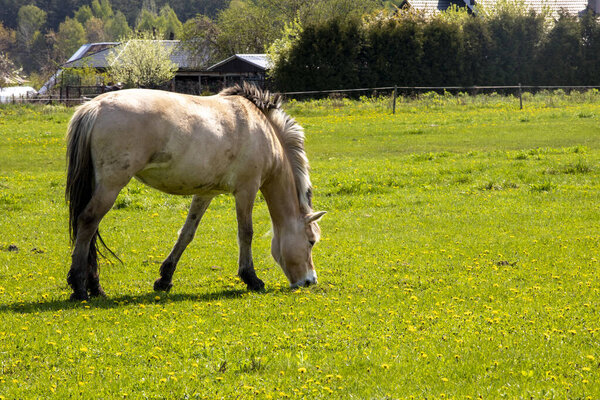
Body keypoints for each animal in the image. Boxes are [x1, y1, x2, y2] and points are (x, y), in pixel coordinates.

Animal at [65, 83, 326, 300]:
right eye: (311, 241)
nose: (310, 281)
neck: (262, 128)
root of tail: (94, 107)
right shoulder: (246, 189)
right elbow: (246, 233)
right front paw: (251, 279)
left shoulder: (205, 193)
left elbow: (187, 233)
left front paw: (165, 279)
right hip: (111, 184)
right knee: (88, 222)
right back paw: (80, 287)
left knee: (90, 229)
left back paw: (94, 287)